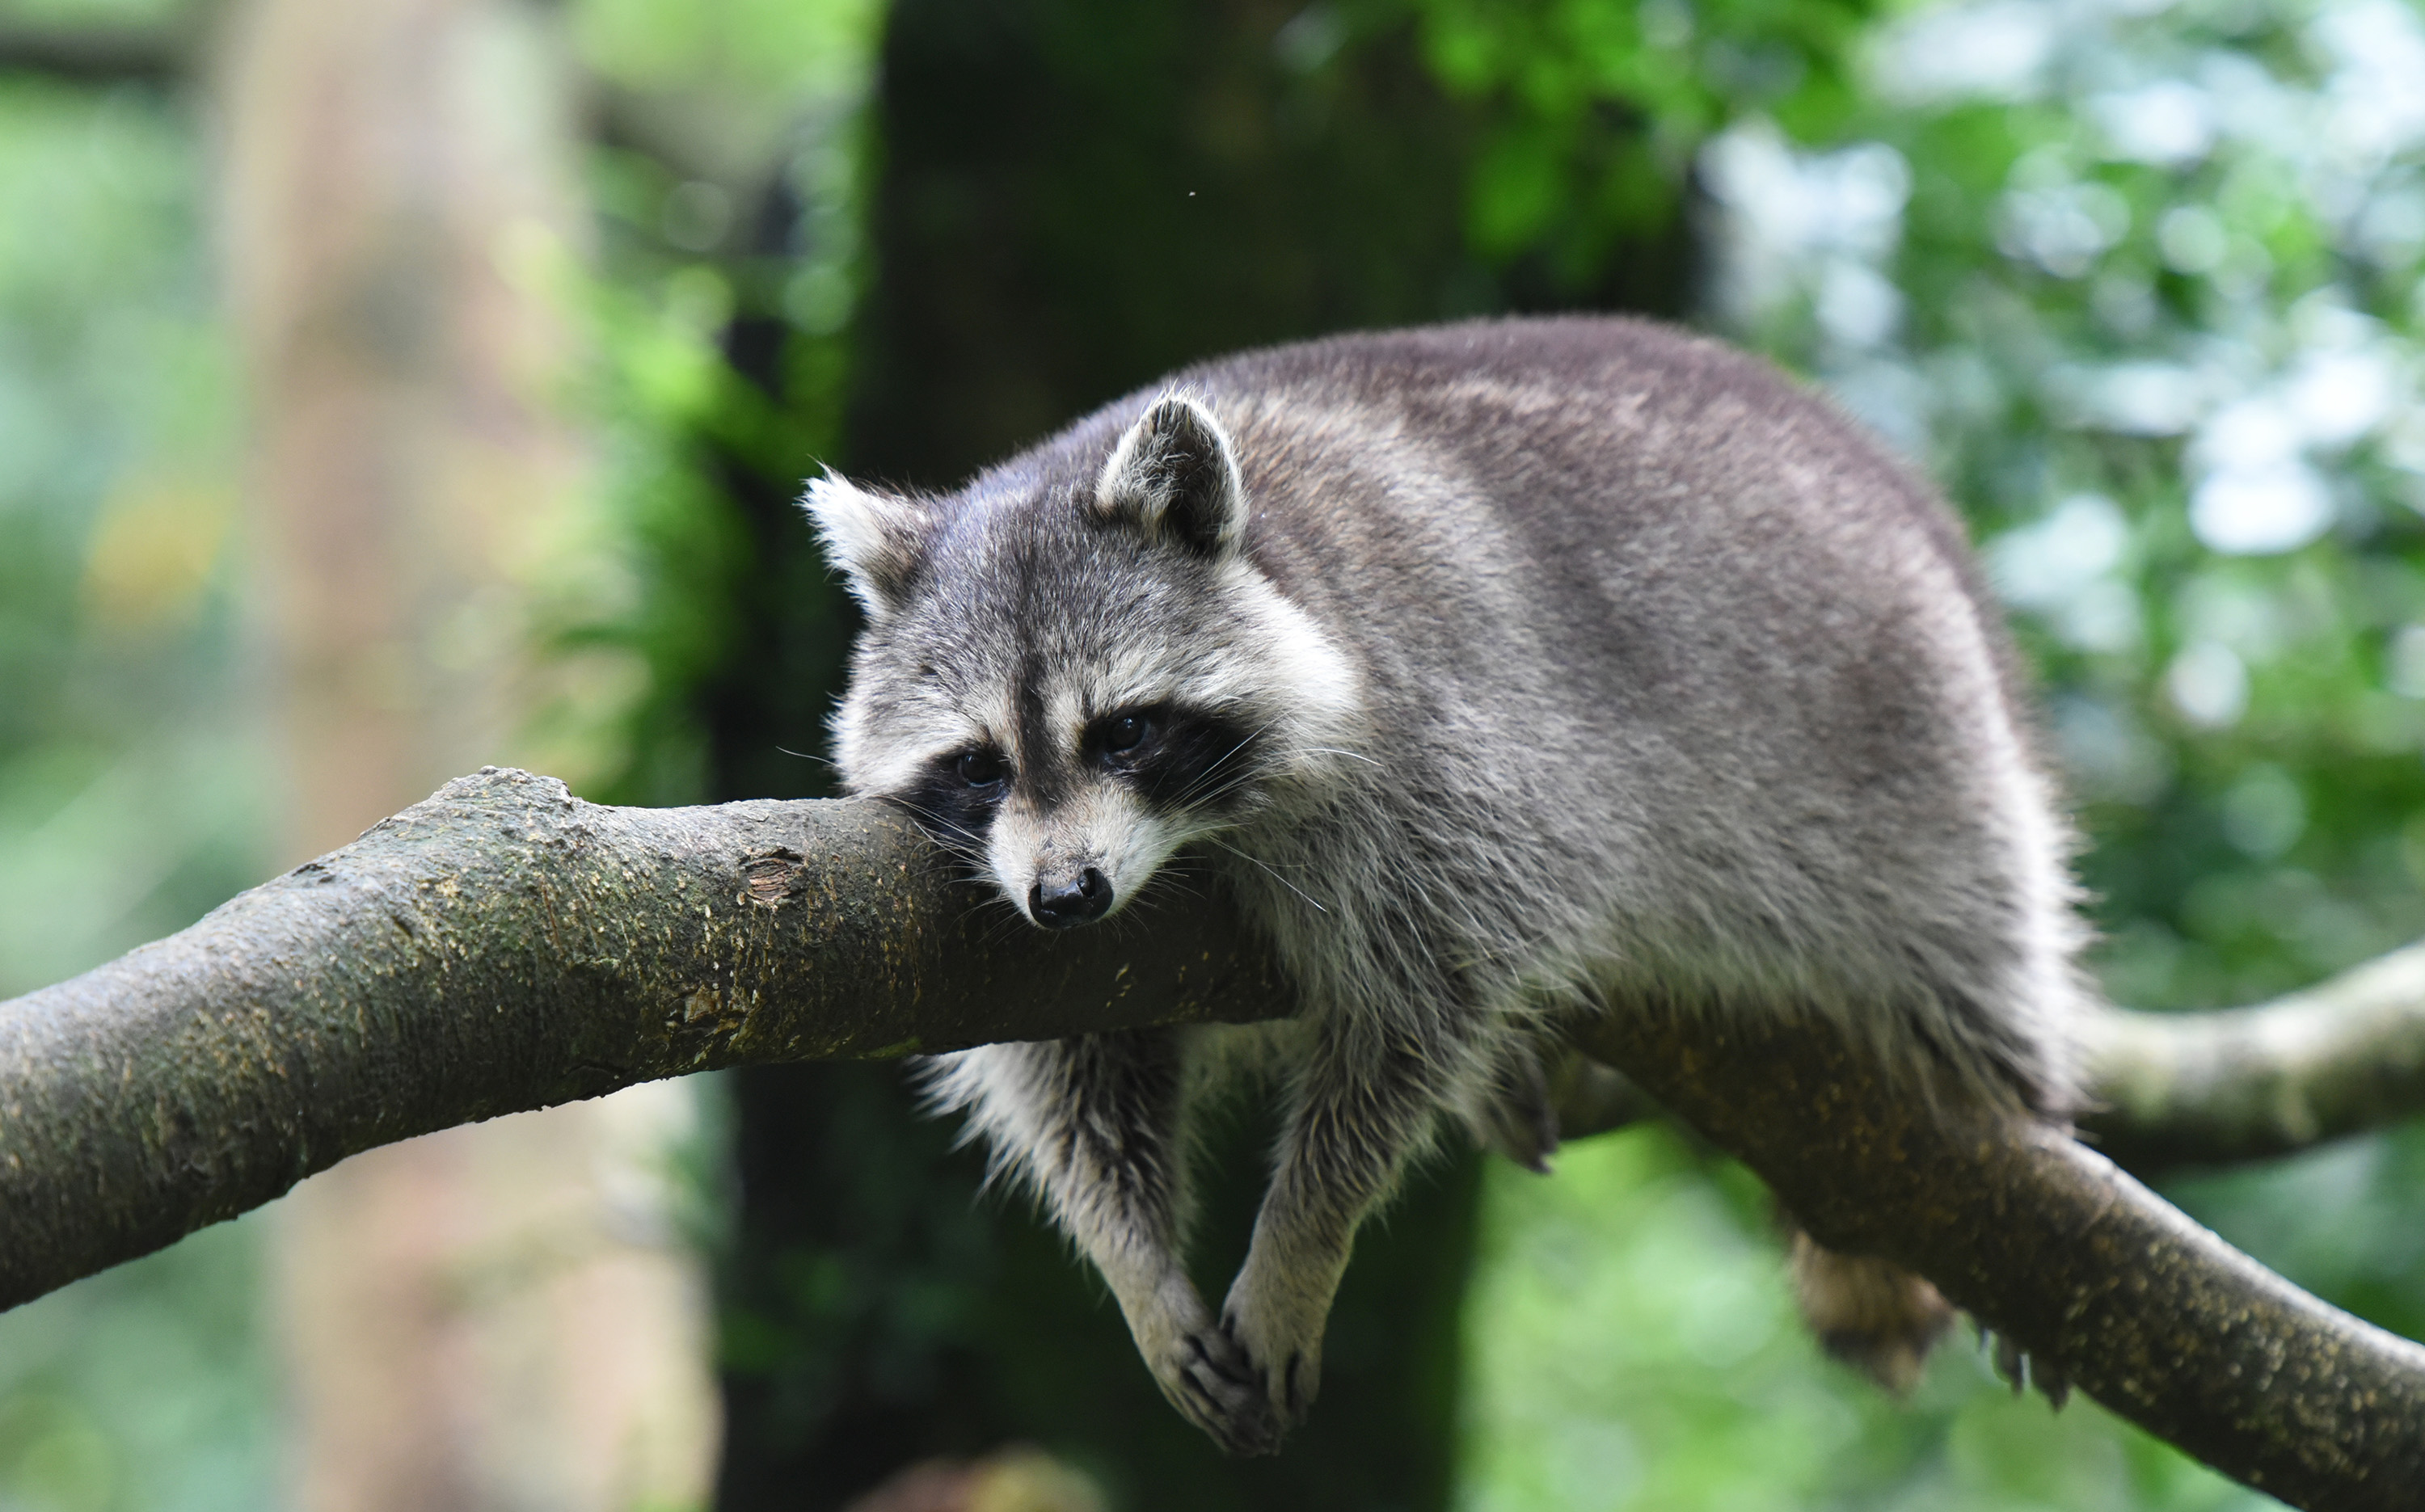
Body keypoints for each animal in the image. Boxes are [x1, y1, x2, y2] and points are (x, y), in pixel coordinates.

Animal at [810, 314, 2086, 1454]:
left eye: (1124, 730)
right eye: (979, 762)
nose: (1067, 898)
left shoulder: (1453, 763)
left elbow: (1421, 1010)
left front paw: (1305, 1233)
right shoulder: (1051, 939)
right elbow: (1070, 1080)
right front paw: (1135, 1262)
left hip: (1920, 760)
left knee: (1971, 954)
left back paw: (2018, 1105)